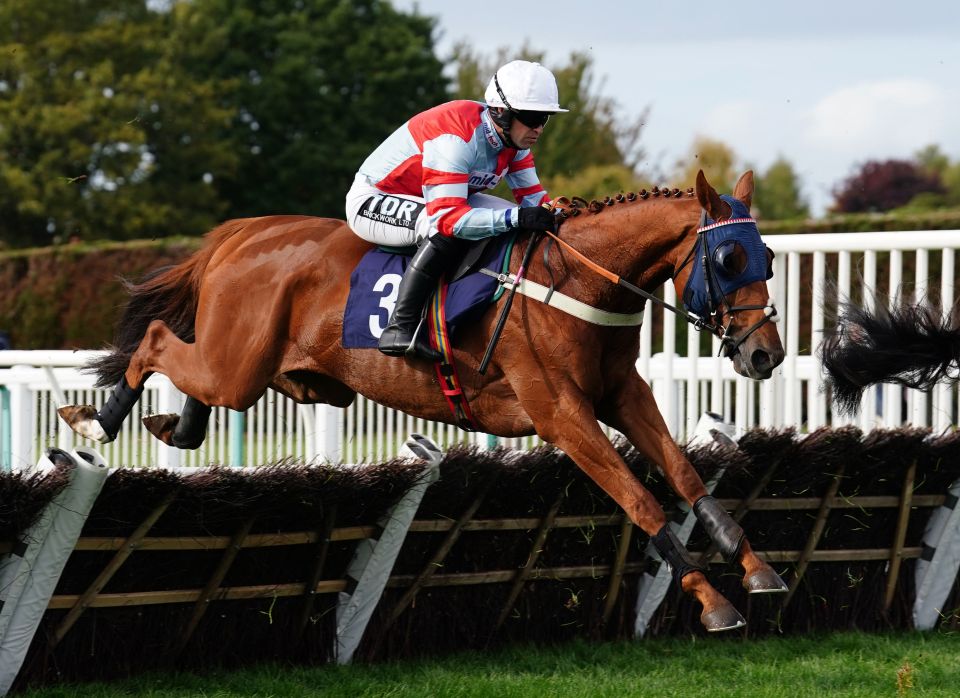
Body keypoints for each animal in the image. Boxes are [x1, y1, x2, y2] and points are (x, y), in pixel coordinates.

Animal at [63, 169, 792, 632]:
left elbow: (685, 474)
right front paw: (712, 601)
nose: (767, 355)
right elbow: (642, 499)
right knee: (158, 338)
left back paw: (174, 426)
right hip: (238, 363)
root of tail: (243, 233)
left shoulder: (623, 393)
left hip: (262, 367)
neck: (577, 280)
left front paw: (756, 567)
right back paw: (95, 422)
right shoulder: (560, 413)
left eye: (767, 256)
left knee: (195, 373)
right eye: (728, 259)